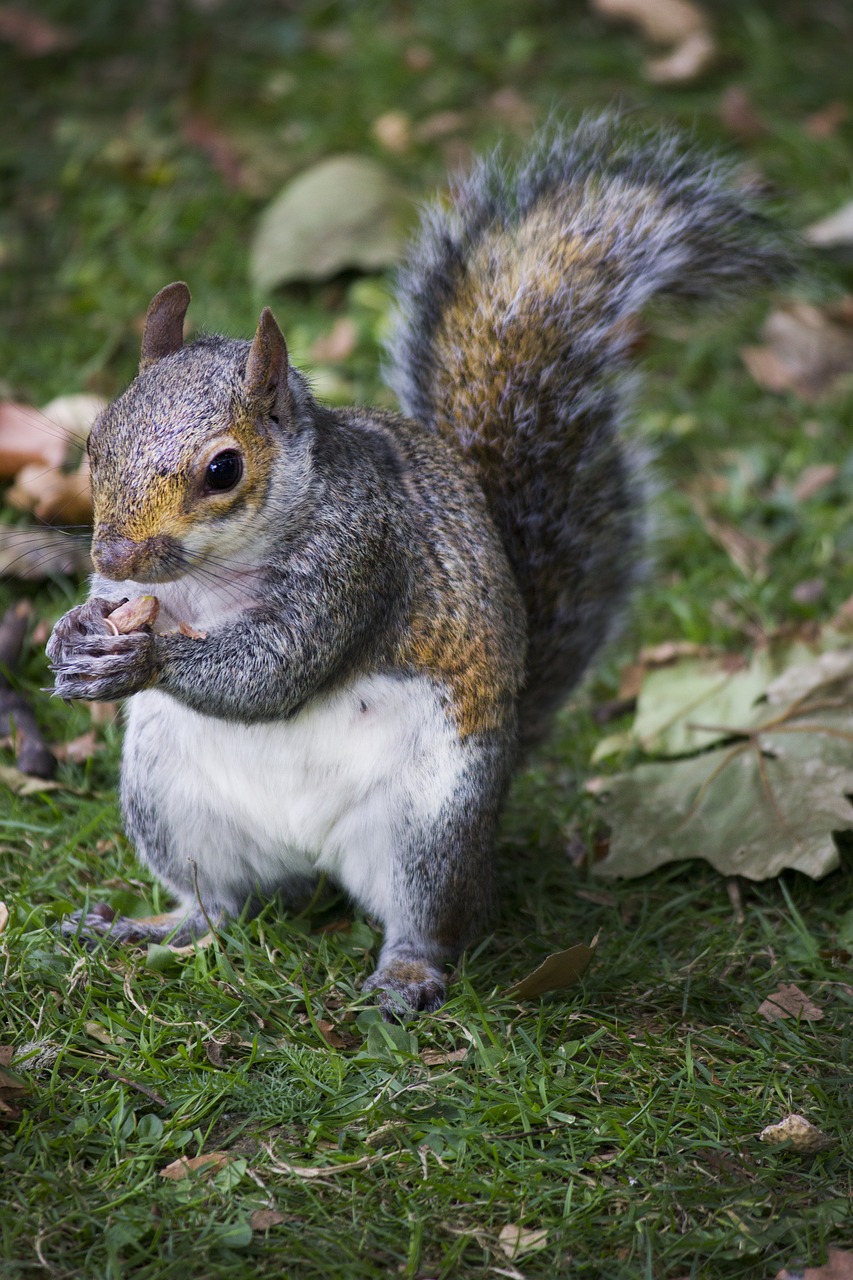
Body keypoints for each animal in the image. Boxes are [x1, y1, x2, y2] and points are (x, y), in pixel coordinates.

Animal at [48, 117, 788, 1008]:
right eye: (95, 442)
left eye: (223, 469)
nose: (115, 551)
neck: (211, 574)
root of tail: (315, 860)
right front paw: (71, 638)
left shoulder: (361, 556)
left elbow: (275, 671)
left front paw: (144, 658)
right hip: (171, 798)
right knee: (218, 902)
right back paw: (155, 926)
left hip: (432, 821)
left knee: (427, 920)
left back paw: (403, 976)